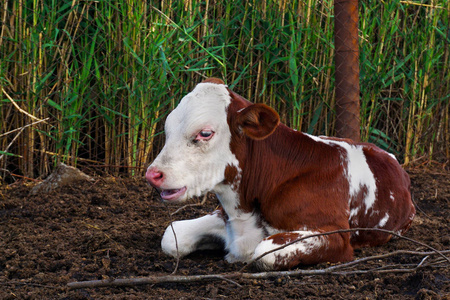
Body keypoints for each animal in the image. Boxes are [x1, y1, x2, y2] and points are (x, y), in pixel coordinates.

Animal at [146, 78, 416, 270]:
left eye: (205, 133)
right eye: (168, 127)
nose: (153, 174)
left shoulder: (336, 235)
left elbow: (264, 251)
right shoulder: (224, 214)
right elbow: (171, 235)